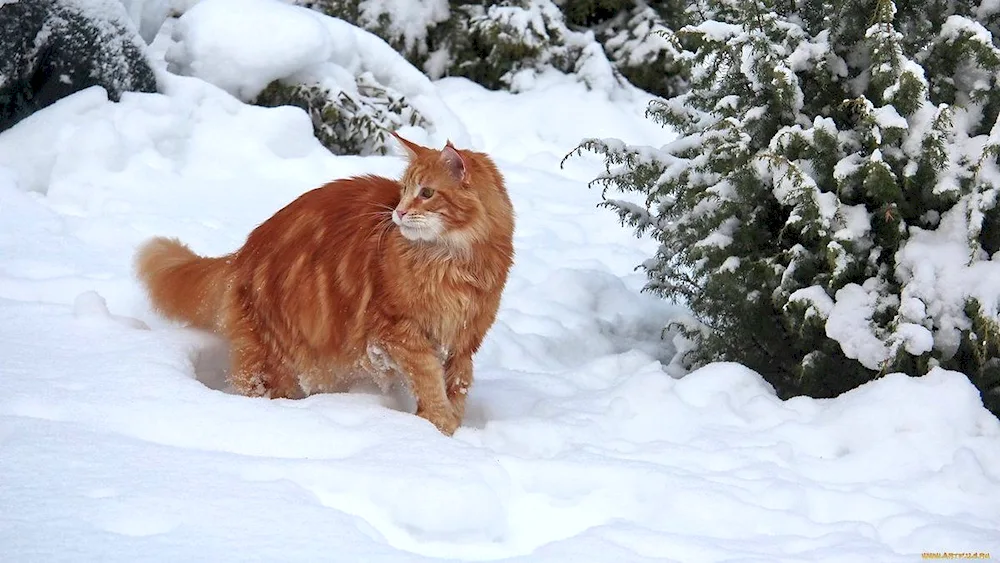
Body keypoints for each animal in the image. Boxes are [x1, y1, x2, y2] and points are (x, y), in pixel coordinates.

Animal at [134, 133, 516, 436]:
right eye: (404, 191)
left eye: (427, 193)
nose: (399, 213)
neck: (453, 263)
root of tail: (242, 253)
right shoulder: (397, 331)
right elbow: (428, 378)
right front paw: (439, 427)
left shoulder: (464, 341)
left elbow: (457, 385)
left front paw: (452, 424)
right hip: (276, 358)